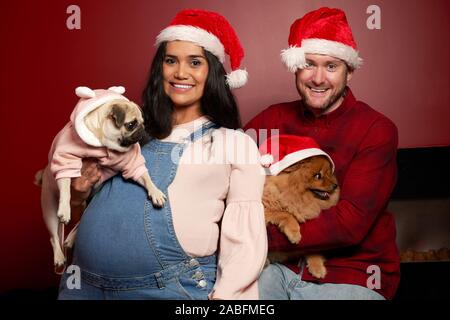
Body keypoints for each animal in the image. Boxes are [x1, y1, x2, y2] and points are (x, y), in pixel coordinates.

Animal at [258, 134, 340, 278]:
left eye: (329, 173)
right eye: (318, 176)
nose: (335, 185)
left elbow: (314, 247)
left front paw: (317, 267)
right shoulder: (264, 209)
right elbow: (286, 214)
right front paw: (295, 234)